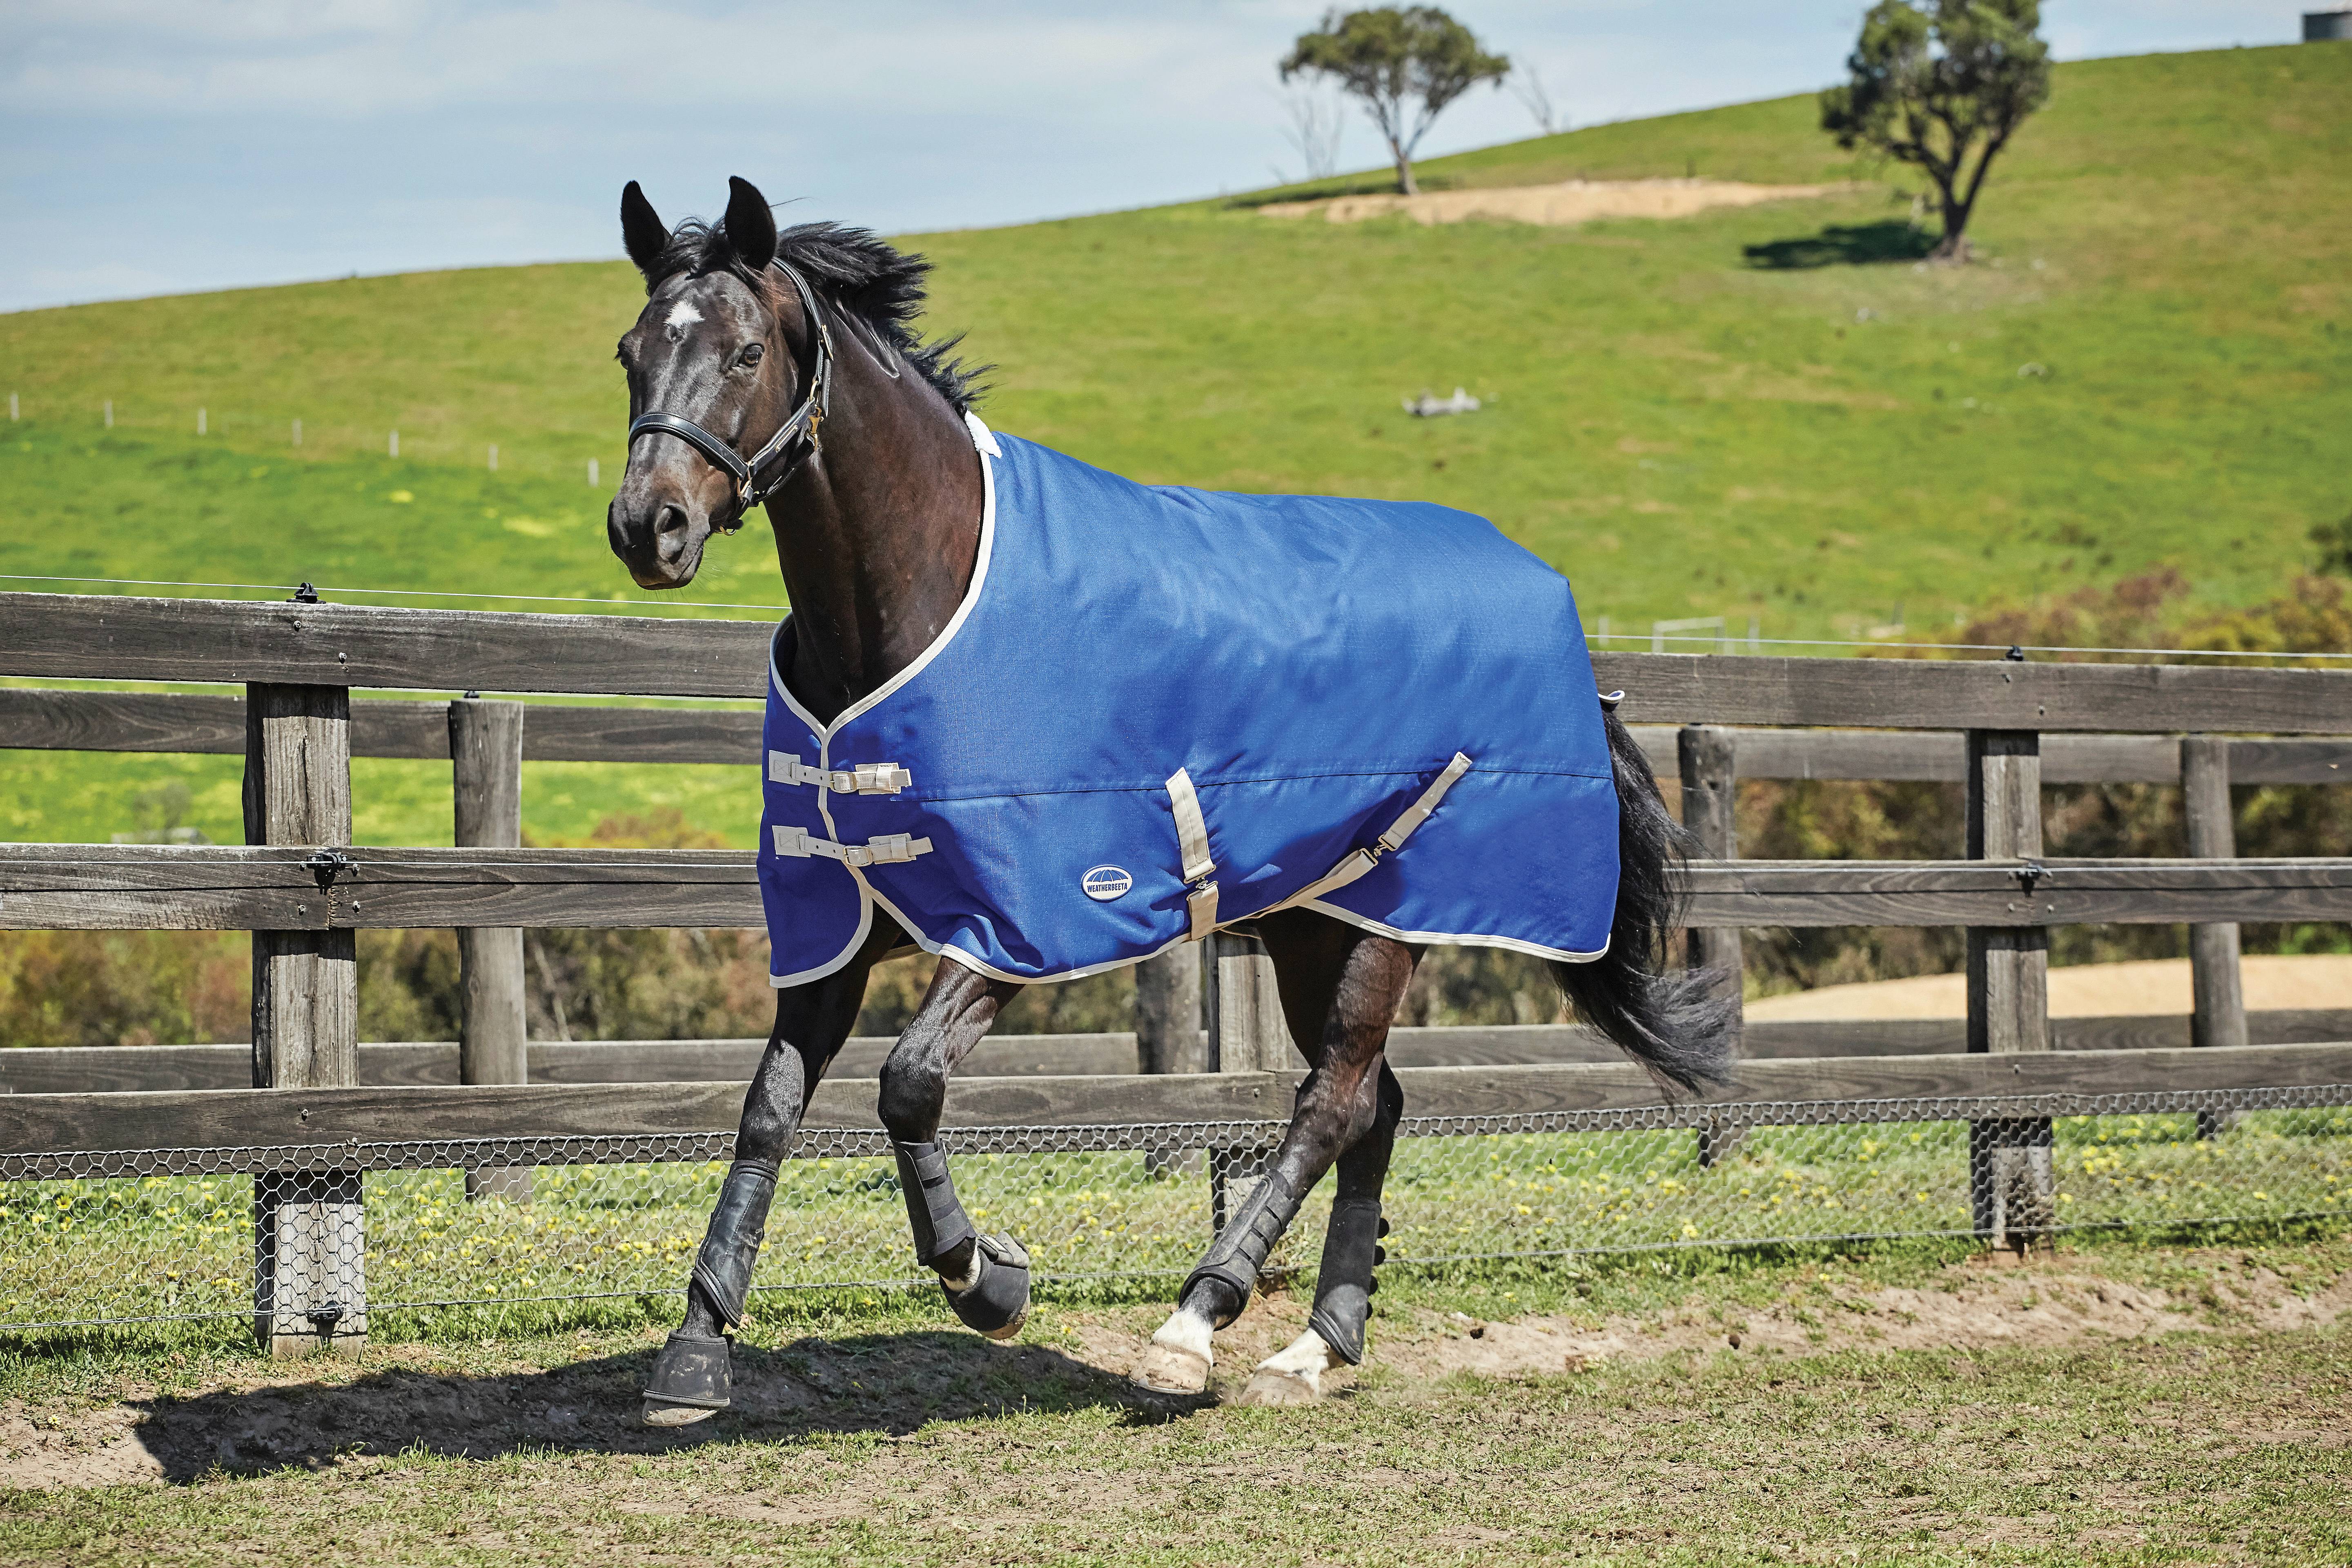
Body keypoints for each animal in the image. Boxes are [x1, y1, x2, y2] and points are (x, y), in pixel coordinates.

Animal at [606, 177, 1735, 1425]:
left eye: (746, 351)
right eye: (629, 353)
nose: (649, 527)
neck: (928, 597)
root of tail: (1545, 592)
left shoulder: (1020, 926)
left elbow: (908, 1086)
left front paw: (987, 1279)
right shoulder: (835, 926)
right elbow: (768, 1105)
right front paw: (695, 1352)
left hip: (1391, 918)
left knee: (1331, 1101)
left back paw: (1197, 1323)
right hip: (1310, 925)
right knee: (1376, 1105)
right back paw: (1318, 1346)